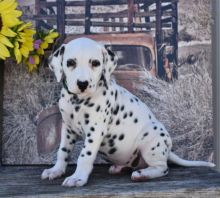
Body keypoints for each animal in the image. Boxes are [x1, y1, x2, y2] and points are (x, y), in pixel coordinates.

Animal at [41, 37, 215, 187]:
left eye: (95, 63)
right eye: (70, 62)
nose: (82, 84)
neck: (77, 101)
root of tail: (167, 150)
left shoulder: (95, 130)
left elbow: (85, 155)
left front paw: (78, 178)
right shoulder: (68, 129)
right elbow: (62, 151)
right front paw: (56, 170)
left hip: (151, 139)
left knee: (162, 168)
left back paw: (143, 174)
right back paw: (120, 168)